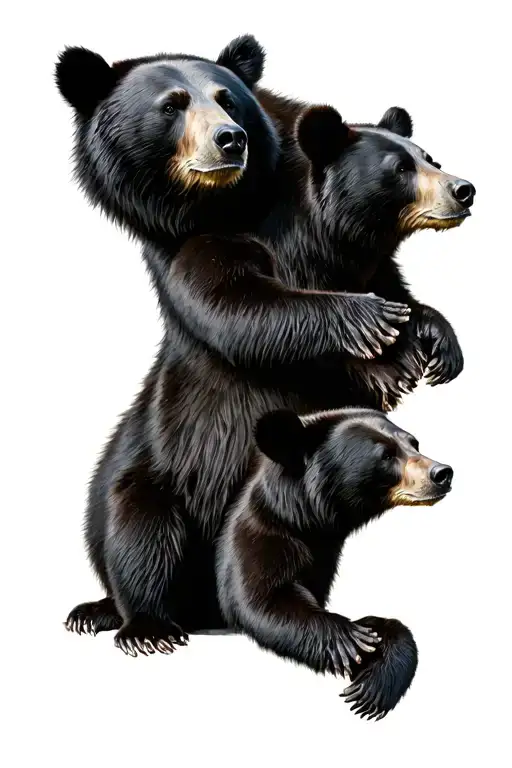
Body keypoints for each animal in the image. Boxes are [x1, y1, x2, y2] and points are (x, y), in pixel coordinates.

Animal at [59, 38, 474, 654]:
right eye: (172, 105)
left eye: (432, 159)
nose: (463, 189)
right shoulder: (197, 245)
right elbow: (238, 305)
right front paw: (371, 329)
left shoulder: (365, 259)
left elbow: (402, 295)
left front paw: (435, 341)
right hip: (152, 472)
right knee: (140, 533)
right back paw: (136, 621)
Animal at [216, 407, 454, 720]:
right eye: (385, 456)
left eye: (414, 443)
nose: (442, 473)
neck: (309, 524)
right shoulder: (260, 540)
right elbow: (261, 599)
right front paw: (349, 640)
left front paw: (374, 681)